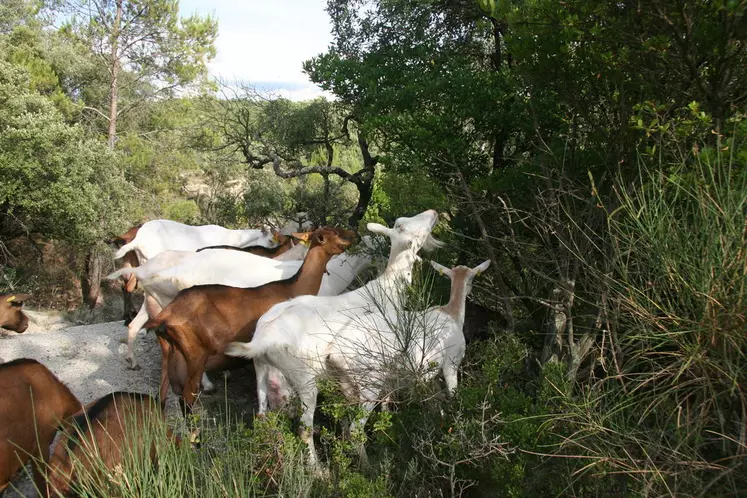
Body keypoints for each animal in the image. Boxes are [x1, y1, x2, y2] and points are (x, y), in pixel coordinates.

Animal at [147, 226, 360, 408]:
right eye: (335, 233)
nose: (354, 235)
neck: (291, 286)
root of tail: (165, 316)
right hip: (195, 359)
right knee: (186, 399)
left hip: (171, 358)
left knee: (164, 397)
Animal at [225, 209, 442, 466]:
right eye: (410, 229)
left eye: (402, 222)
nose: (433, 212)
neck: (387, 289)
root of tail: (262, 340)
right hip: (304, 378)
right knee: (304, 428)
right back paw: (317, 468)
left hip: (261, 369)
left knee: (262, 413)